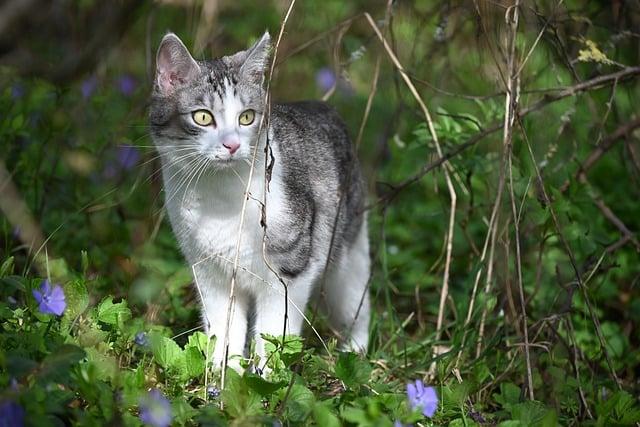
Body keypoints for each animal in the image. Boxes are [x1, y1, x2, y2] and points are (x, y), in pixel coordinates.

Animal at [149, 31, 370, 372]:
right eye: (203, 117)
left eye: (247, 117)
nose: (232, 144)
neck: (220, 198)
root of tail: (323, 107)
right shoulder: (209, 273)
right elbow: (223, 330)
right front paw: (222, 374)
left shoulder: (289, 273)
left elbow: (274, 332)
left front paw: (266, 376)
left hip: (347, 255)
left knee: (357, 304)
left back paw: (355, 352)